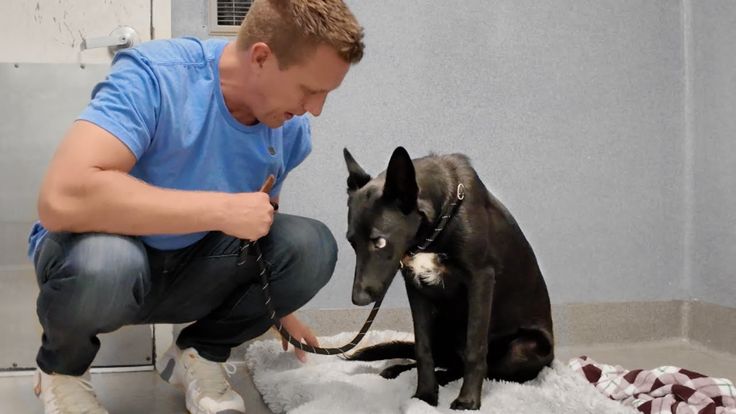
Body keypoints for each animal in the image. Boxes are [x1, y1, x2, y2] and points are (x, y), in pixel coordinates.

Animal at [344, 147, 552, 410]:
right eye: (352, 242)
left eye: (379, 241)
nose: (358, 299)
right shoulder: (415, 286)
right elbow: (423, 349)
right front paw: (425, 395)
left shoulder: (481, 279)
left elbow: (475, 349)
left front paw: (468, 400)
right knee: (443, 360)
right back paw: (400, 370)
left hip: (524, 348)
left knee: (485, 368)